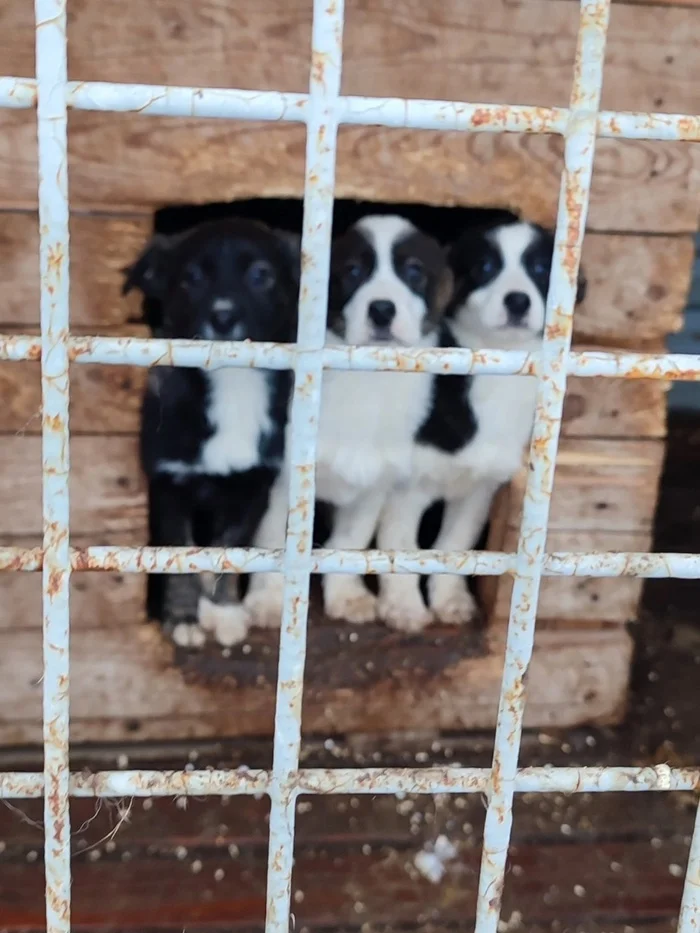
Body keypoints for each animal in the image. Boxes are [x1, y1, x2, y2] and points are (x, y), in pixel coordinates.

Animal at [124, 217, 300, 648]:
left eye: (261, 276)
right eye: (191, 279)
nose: (222, 317)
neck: (231, 384)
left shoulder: (253, 489)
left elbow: (226, 552)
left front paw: (223, 610)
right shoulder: (168, 488)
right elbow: (180, 558)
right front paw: (184, 617)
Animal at [246, 215, 454, 628]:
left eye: (414, 272)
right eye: (353, 272)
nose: (382, 310)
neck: (367, 383)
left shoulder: (374, 487)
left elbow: (349, 542)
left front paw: (347, 596)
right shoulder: (281, 483)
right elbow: (275, 543)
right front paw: (269, 602)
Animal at [374, 216, 588, 628]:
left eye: (541, 268)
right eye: (485, 267)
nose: (518, 300)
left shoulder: (480, 489)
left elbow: (454, 546)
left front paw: (450, 599)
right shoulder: (405, 489)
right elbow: (402, 548)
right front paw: (405, 607)